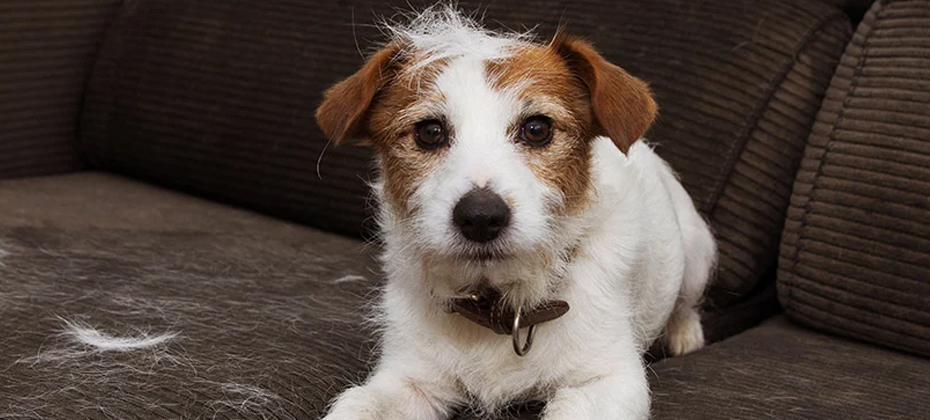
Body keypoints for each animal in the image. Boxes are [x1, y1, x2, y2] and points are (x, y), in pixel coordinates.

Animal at [316, 6, 716, 420]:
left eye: (537, 128)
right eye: (429, 132)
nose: (480, 217)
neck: (500, 304)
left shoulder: (607, 381)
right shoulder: (408, 378)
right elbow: (362, 404)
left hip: (697, 253)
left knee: (687, 302)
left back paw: (685, 335)